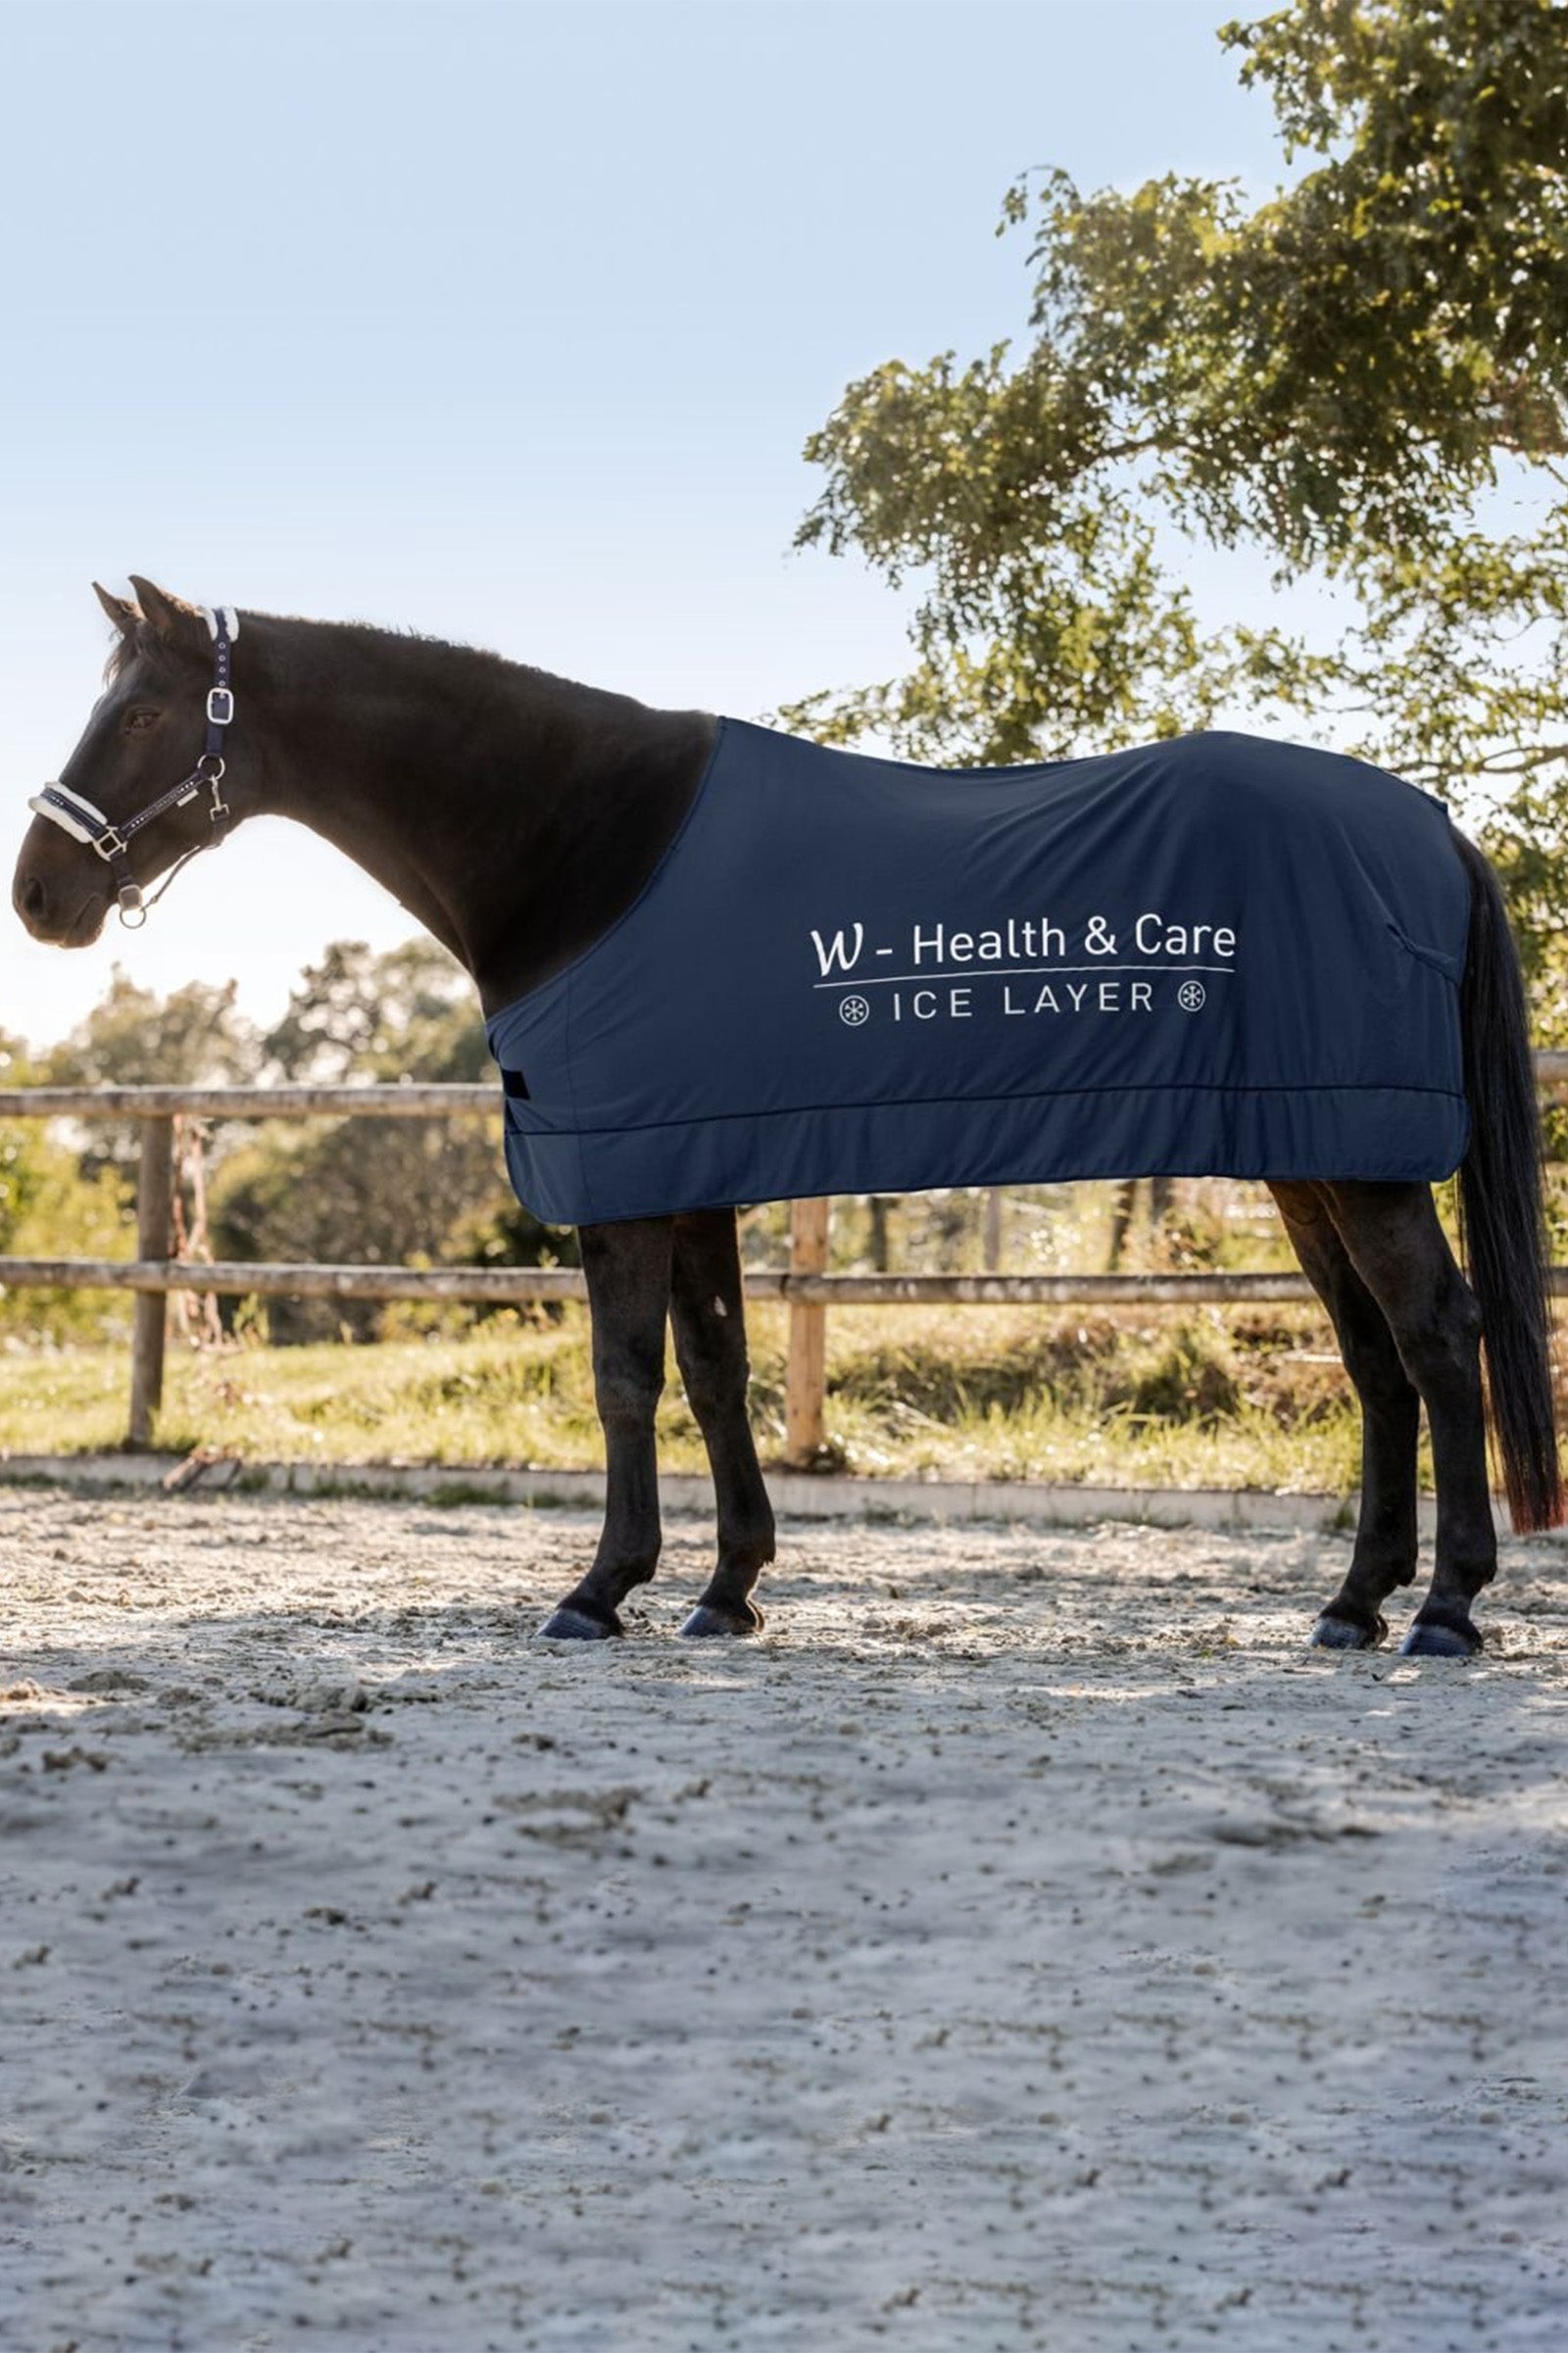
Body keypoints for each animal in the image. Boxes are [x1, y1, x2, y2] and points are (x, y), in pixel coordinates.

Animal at [13, 578, 1561, 1657]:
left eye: (141, 713)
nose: (40, 894)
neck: (584, 845)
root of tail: (1431, 827)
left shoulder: (625, 1175)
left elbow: (623, 1377)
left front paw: (601, 1588)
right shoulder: (691, 1164)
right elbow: (715, 1371)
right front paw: (728, 1587)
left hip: (1360, 1164)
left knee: (1438, 1339)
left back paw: (1445, 1611)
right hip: (1315, 1158)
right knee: (1376, 1363)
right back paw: (1355, 1605)